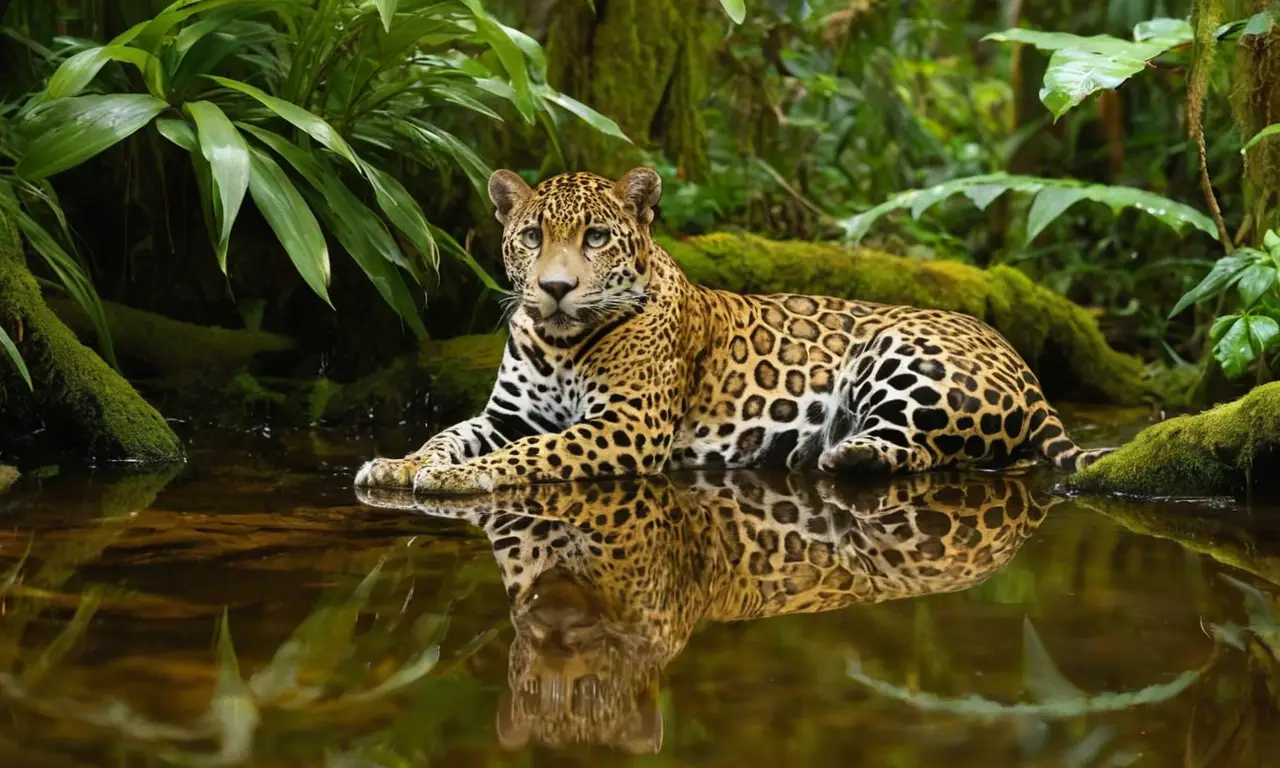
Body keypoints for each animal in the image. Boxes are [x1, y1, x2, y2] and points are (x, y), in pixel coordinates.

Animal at [354, 166, 1113, 495]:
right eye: (532, 237)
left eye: (596, 237)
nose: (556, 289)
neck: (561, 343)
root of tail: (1023, 362)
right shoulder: (507, 415)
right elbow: (447, 434)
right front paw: (400, 464)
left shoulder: (628, 425)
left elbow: (534, 453)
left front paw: (465, 477)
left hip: (895, 349)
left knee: (939, 450)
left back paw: (849, 455)